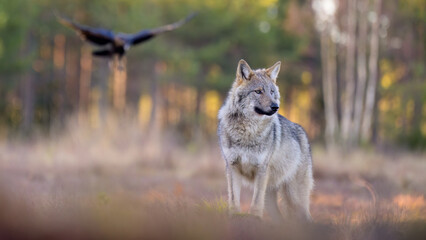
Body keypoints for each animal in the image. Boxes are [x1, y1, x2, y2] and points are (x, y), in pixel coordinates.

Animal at [220, 59, 312, 221]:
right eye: (258, 91)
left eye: (272, 92)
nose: (276, 106)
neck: (247, 131)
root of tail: (302, 132)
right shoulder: (232, 167)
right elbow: (234, 199)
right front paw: (235, 215)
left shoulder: (261, 170)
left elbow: (256, 201)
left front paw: (254, 217)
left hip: (295, 197)